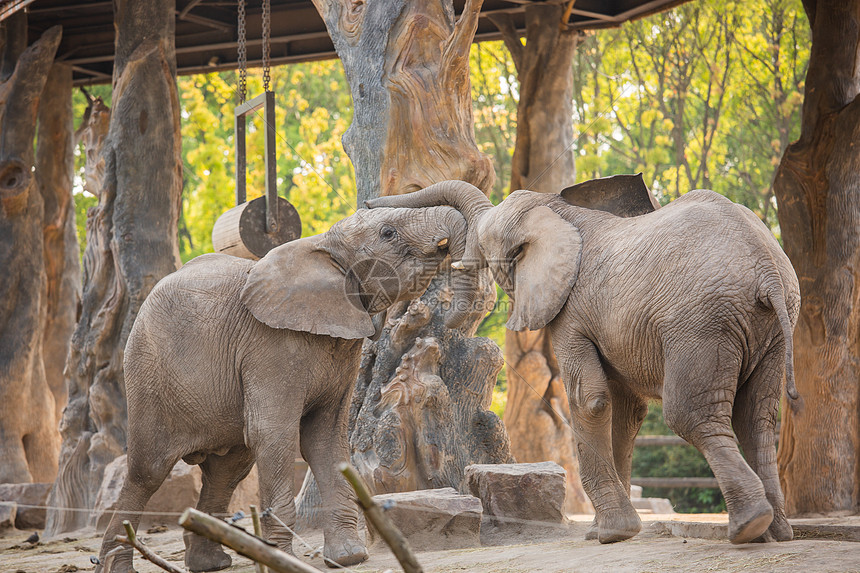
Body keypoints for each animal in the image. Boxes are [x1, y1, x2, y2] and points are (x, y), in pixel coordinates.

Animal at [100, 203, 478, 568]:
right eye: (388, 233)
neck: (321, 246)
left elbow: (325, 438)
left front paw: (348, 558)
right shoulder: (270, 346)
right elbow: (273, 434)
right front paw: (283, 560)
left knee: (227, 470)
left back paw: (211, 562)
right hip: (148, 372)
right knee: (148, 471)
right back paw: (117, 566)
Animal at [368, 177, 800, 544]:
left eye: (487, 245)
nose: (370, 203)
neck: (556, 210)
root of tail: (768, 272)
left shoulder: (570, 312)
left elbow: (589, 399)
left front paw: (611, 534)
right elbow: (627, 412)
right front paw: (606, 532)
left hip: (703, 323)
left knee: (690, 414)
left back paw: (748, 527)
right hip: (771, 330)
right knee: (757, 418)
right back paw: (776, 534)